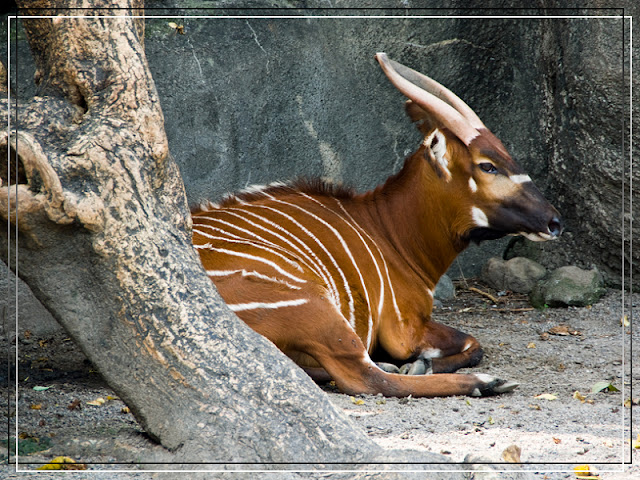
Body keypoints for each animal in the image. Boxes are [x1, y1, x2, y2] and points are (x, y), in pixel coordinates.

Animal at [192, 53, 563, 397]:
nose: (554, 221)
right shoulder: (404, 329)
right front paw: (419, 365)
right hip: (318, 308)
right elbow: (472, 345)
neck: (386, 231)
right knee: (362, 376)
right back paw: (485, 382)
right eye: (488, 165)